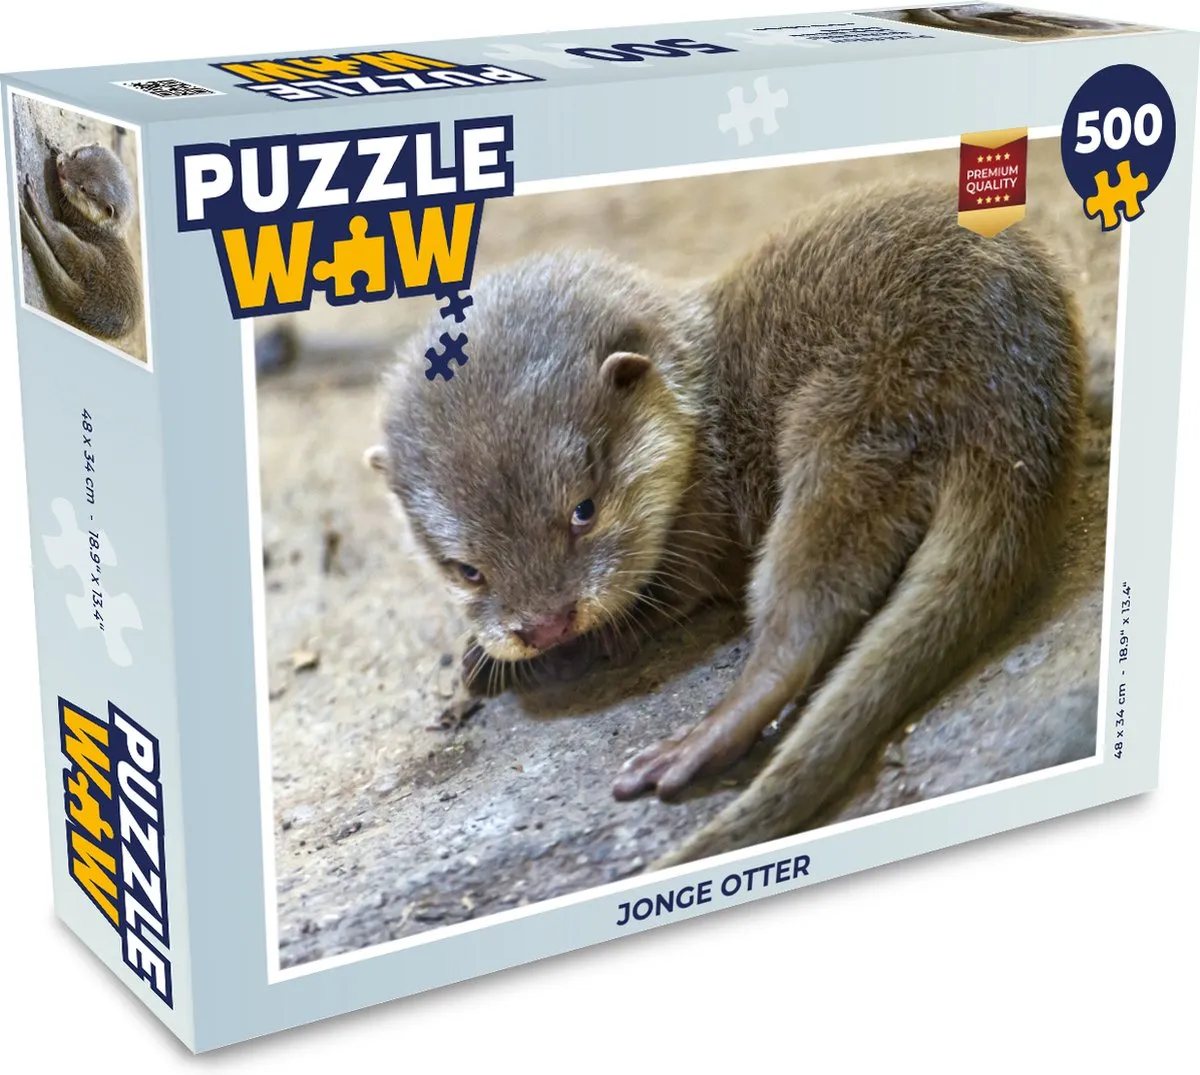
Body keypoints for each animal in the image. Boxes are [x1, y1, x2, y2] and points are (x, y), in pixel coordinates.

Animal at [19, 142, 142, 341]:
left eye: (83, 188)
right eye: (76, 156)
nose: (62, 167)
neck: (98, 226)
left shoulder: (75, 215)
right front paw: (56, 148)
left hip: (95, 264)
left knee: (63, 239)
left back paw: (36, 205)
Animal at [368, 183, 1084, 868]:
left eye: (583, 510)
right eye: (466, 569)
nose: (545, 624)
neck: (702, 411)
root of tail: (1018, 406)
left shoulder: (699, 524)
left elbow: (644, 612)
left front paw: (498, 664)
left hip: (856, 414)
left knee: (806, 613)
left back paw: (699, 742)